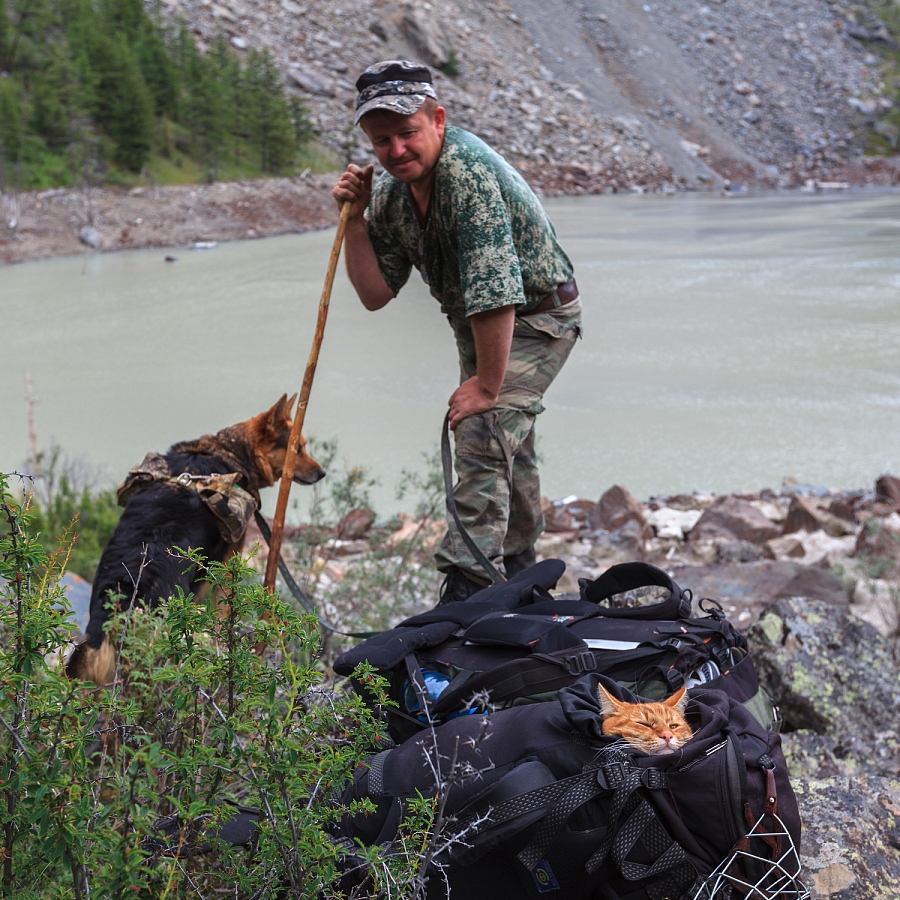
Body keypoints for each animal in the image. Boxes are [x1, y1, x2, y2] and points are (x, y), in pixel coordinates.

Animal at [68, 394, 326, 684]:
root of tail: (116, 612)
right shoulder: (228, 559)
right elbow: (224, 609)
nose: (322, 473)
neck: (233, 450)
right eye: (300, 449)